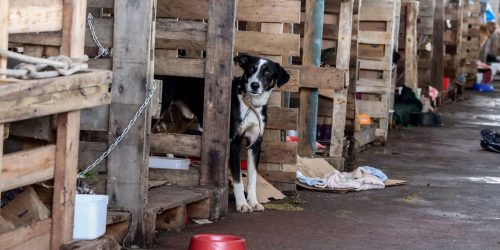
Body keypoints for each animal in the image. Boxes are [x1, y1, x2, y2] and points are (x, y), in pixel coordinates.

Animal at [158, 54, 292, 213]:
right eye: (251, 69)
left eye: (267, 72)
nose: (254, 85)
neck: (251, 105)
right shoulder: (234, 142)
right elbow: (238, 179)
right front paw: (242, 204)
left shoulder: (255, 144)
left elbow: (252, 178)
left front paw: (253, 202)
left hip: (185, 118)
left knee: (170, 136)